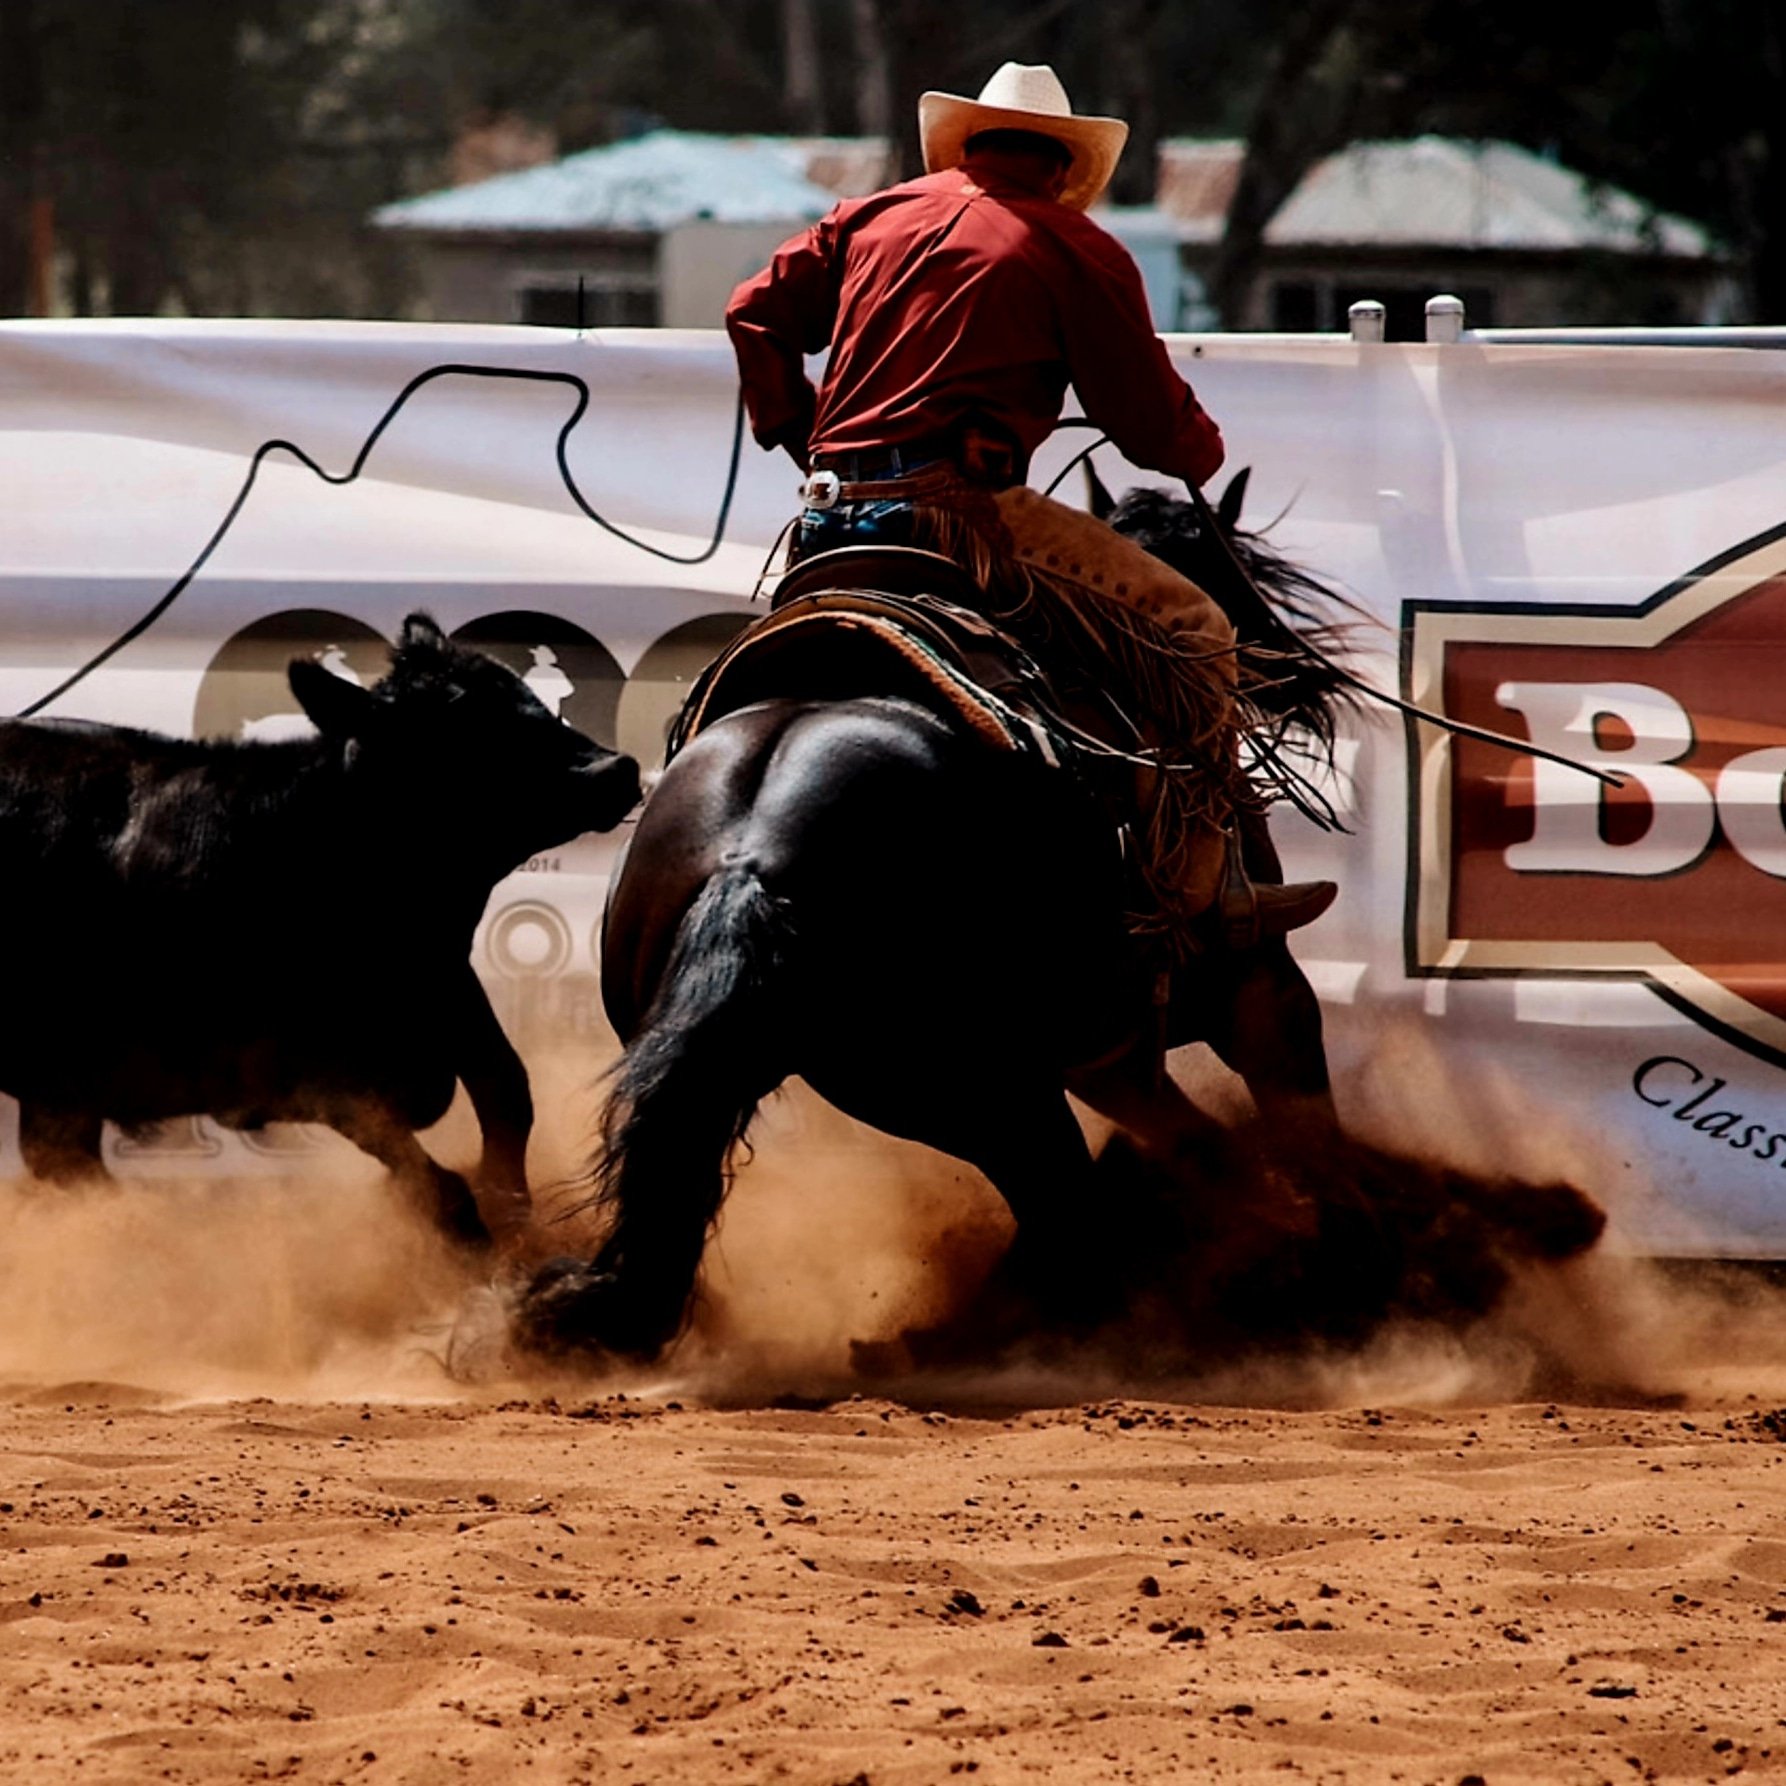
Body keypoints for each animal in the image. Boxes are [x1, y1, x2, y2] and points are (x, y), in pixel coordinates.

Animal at [0, 612, 641, 1249]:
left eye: (519, 690)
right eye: (460, 728)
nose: (615, 769)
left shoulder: (452, 992)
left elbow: (507, 1093)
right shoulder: (315, 1076)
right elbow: (442, 1189)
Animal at [506, 469, 1399, 1365]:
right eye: (1233, 564)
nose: (1294, 669)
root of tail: (750, 857)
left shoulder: (1108, 1059)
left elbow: (1202, 1137)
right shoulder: (1253, 982)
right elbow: (1298, 1119)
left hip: (880, 1084)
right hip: (987, 1088)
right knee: (1067, 1217)